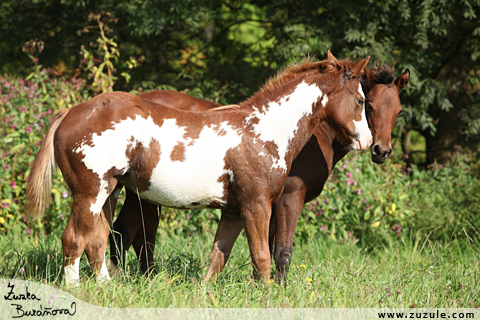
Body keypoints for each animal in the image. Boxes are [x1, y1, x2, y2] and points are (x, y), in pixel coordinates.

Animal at [25, 55, 372, 284]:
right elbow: (262, 256)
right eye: (360, 100)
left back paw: (107, 287)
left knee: (97, 240)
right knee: (74, 239)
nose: (369, 142)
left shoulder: (233, 211)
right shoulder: (257, 205)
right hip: (89, 193)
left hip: (109, 192)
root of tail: (73, 112)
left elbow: (218, 258)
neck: (263, 130)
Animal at [108, 53, 408, 284]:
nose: (379, 149)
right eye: (366, 103)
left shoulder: (264, 203)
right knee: (125, 231)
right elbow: (280, 251)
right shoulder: (288, 198)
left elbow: (264, 249)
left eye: (399, 110)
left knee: (140, 236)